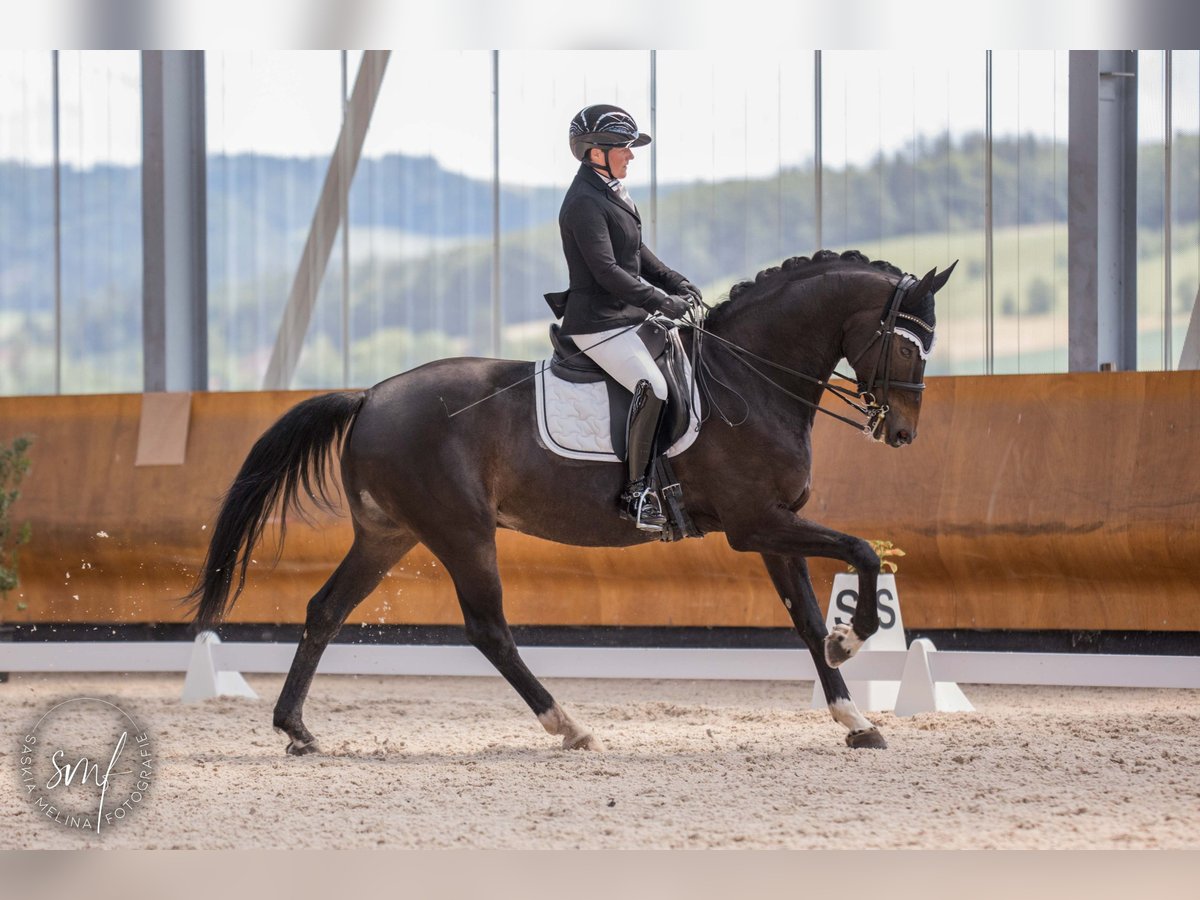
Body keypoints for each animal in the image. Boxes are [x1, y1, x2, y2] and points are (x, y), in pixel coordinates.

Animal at [184, 250, 955, 758]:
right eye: (906, 348)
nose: (902, 432)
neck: (750, 378)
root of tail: (370, 395)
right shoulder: (756, 524)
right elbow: (860, 552)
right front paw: (855, 635)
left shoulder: (773, 529)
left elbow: (804, 619)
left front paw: (855, 718)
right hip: (461, 532)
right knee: (488, 629)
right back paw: (569, 725)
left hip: (388, 534)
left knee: (325, 610)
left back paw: (296, 730)